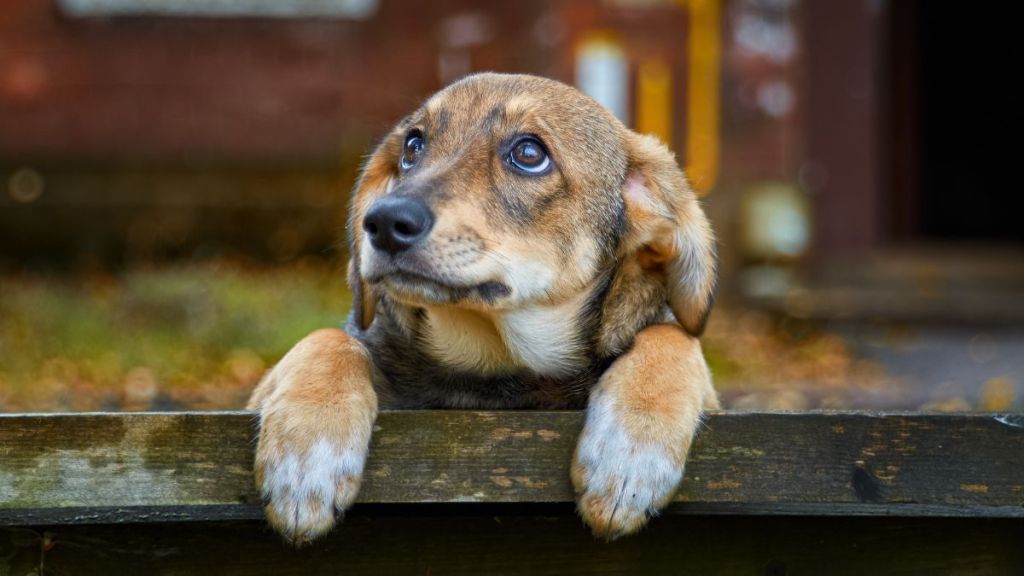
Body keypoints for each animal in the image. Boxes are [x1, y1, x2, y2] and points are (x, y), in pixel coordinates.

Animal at [245, 71, 720, 541]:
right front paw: (306, 456)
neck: (492, 365)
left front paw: (631, 453)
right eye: (413, 145)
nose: (382, 222)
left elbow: (673, 335)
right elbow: (329, 338)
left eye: (529, 153)